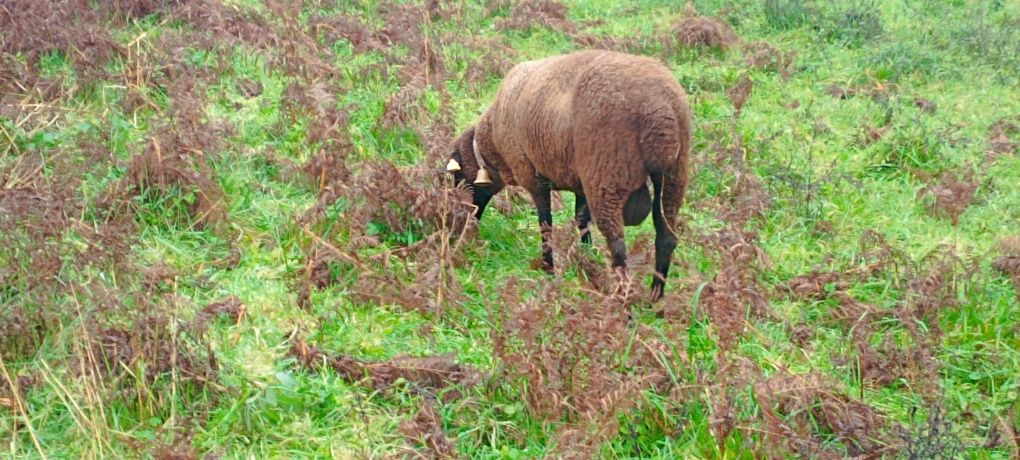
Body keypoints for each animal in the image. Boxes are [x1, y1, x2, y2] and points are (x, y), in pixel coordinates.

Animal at [446, 49, 693, 301]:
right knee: (666, 237)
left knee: (618, 247)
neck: (493, 144)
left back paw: (621, 301)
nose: (462, 227)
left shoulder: (532, 176)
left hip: (607, 176)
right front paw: (586, 260)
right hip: (673, 174)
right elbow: (582, 221)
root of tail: (659, 109)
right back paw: (655, 298)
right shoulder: (580, 182)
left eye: (459, 178)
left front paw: (548, 268)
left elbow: (545, 223)